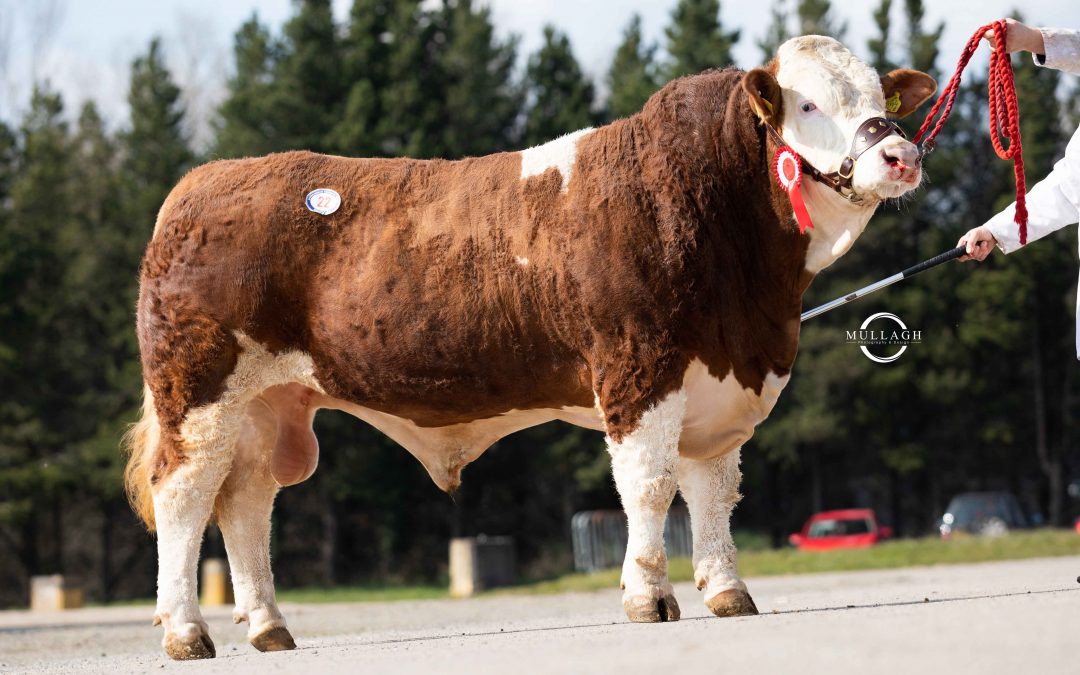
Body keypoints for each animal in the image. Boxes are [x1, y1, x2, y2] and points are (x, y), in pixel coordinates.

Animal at [126, 36, 933, 656]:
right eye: (808, 105)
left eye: (883, 100)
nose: (901, 155)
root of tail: (201, 183)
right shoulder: (640, 368)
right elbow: (649, 485)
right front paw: (649, 596)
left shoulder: (721, 381)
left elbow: (713, 489)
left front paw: (727, 589)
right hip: (198, 392)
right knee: (184, 495)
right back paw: (186, 632)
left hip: (267, 405)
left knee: (246, 503)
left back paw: (269, 627)